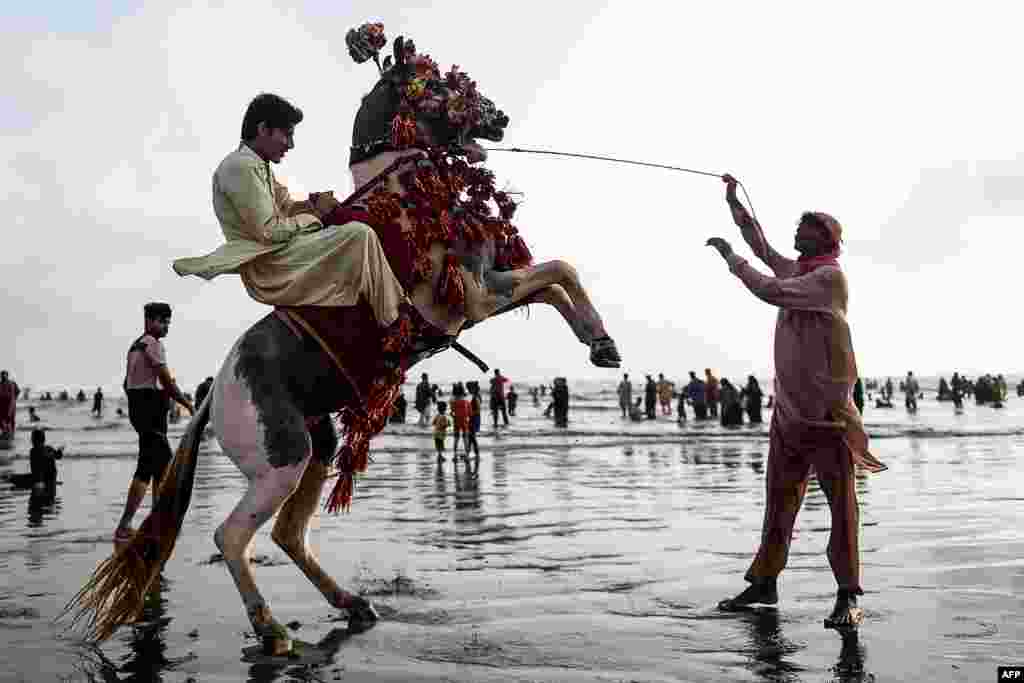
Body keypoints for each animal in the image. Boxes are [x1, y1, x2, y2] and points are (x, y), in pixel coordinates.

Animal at [68, 24, 622, 655]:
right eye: (439, 85)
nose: (500, 118)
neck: (407, 199)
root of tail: (214, 395)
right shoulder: (473, 300)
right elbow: (557, 271)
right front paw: (600, 339)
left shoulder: (488, 285)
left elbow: (556, 280)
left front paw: (600, 342)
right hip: (280, 458)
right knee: (232, 536)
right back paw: (272, 628)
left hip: (318, 444)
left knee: (288, 533)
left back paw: (351, 603)